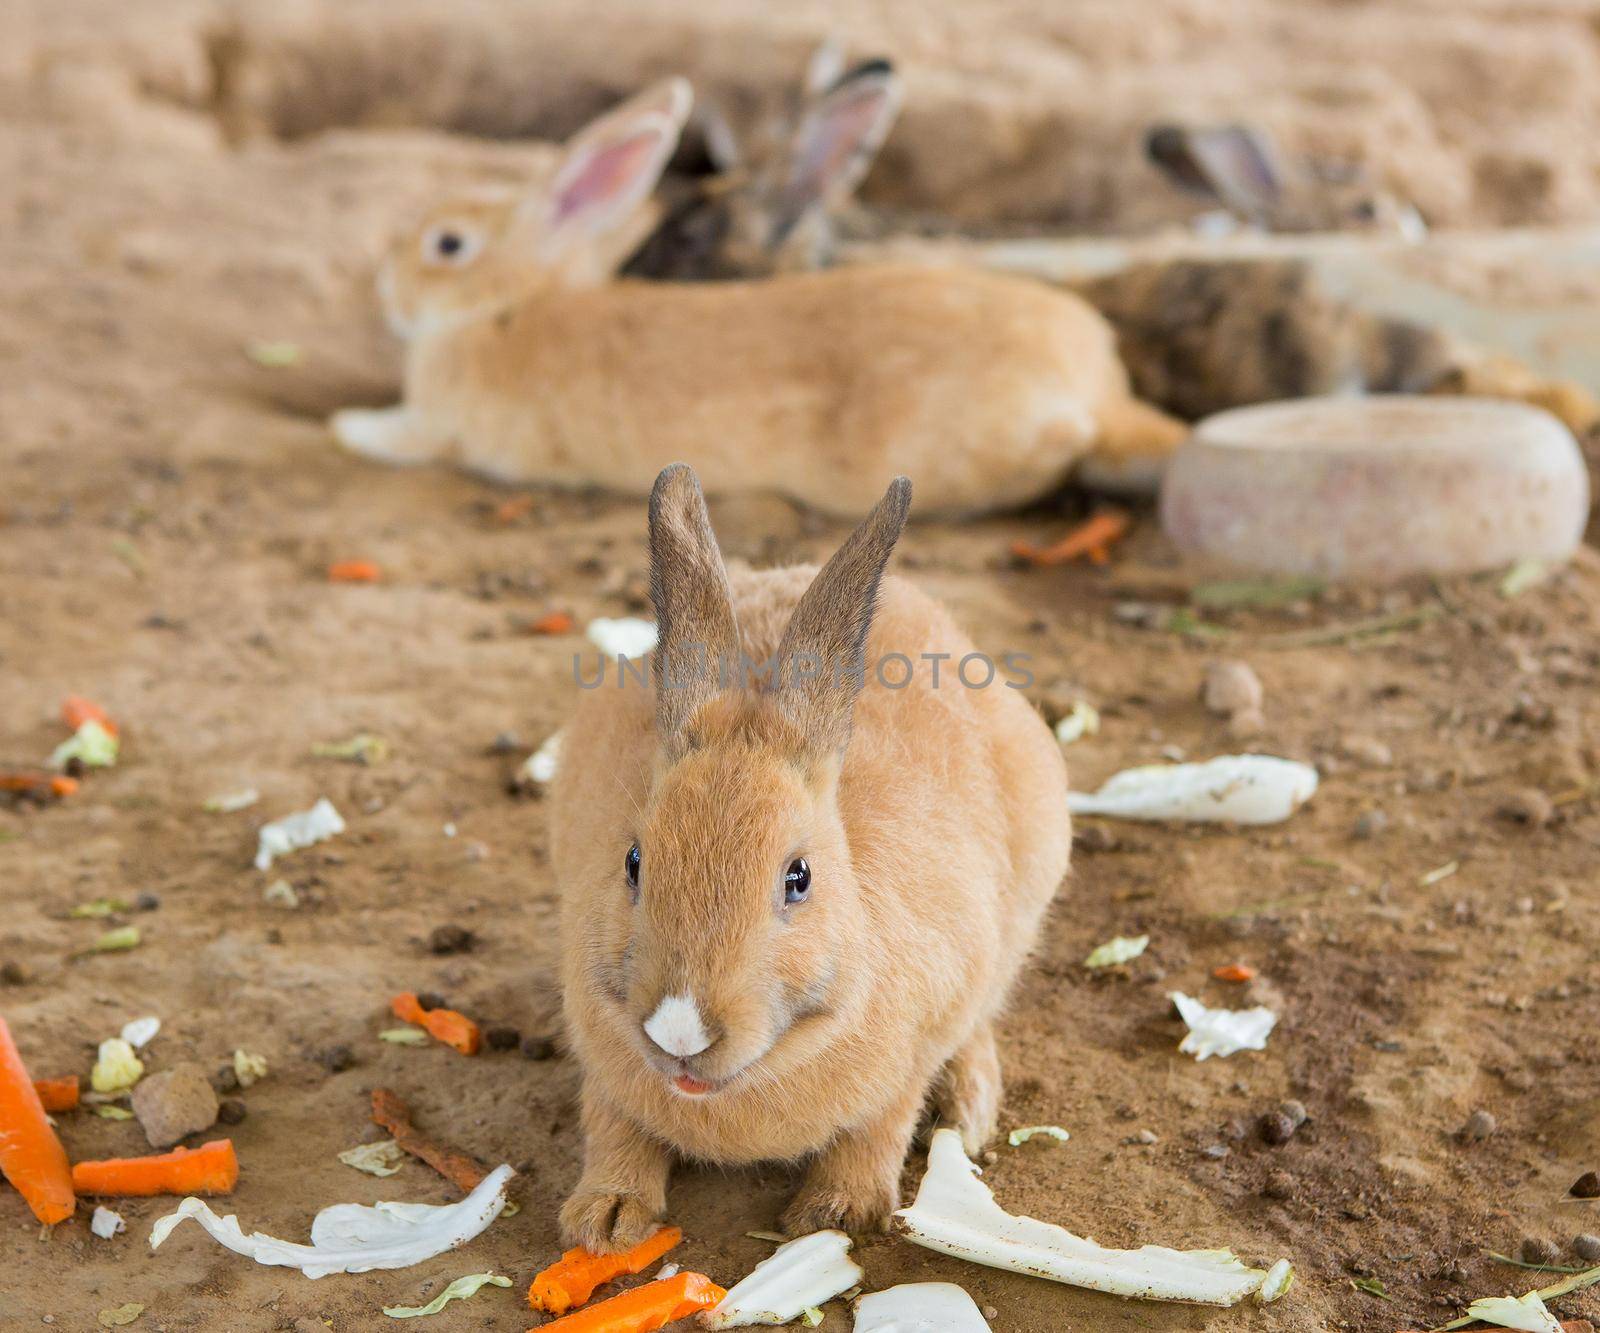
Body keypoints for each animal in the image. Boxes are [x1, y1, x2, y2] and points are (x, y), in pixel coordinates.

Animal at [334, 79, 1190, 515]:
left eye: (446, 245)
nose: (381, 287)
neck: (509, 303)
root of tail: (1099, 393)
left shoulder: (440, 429)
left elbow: (394, 435)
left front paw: (346, 425)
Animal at [553, 467, 1075, 1248]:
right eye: (633, 862)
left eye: (798, 879)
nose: (680, 1030)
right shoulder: (601, 1057)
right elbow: (613, 1121)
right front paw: (607, 1219)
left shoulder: (915, 1044)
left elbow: (881, 1124)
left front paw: (835, 1214)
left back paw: (970, 1107)